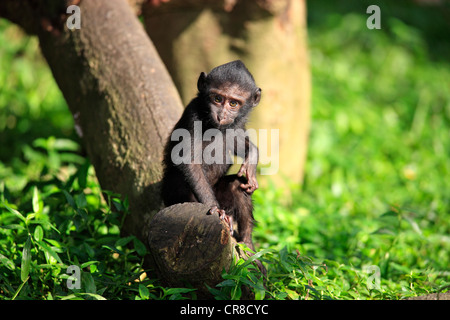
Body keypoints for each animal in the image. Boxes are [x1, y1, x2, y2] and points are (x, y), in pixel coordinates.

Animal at [161, 59, 260, 250]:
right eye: (218, 99)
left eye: (233, 104)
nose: (221, 115)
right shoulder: (192, 114)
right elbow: (189, 161)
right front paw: (215, 209)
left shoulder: (238, 123)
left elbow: (238, 143)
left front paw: (251, 162)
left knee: (237, 185)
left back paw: (247, 244)